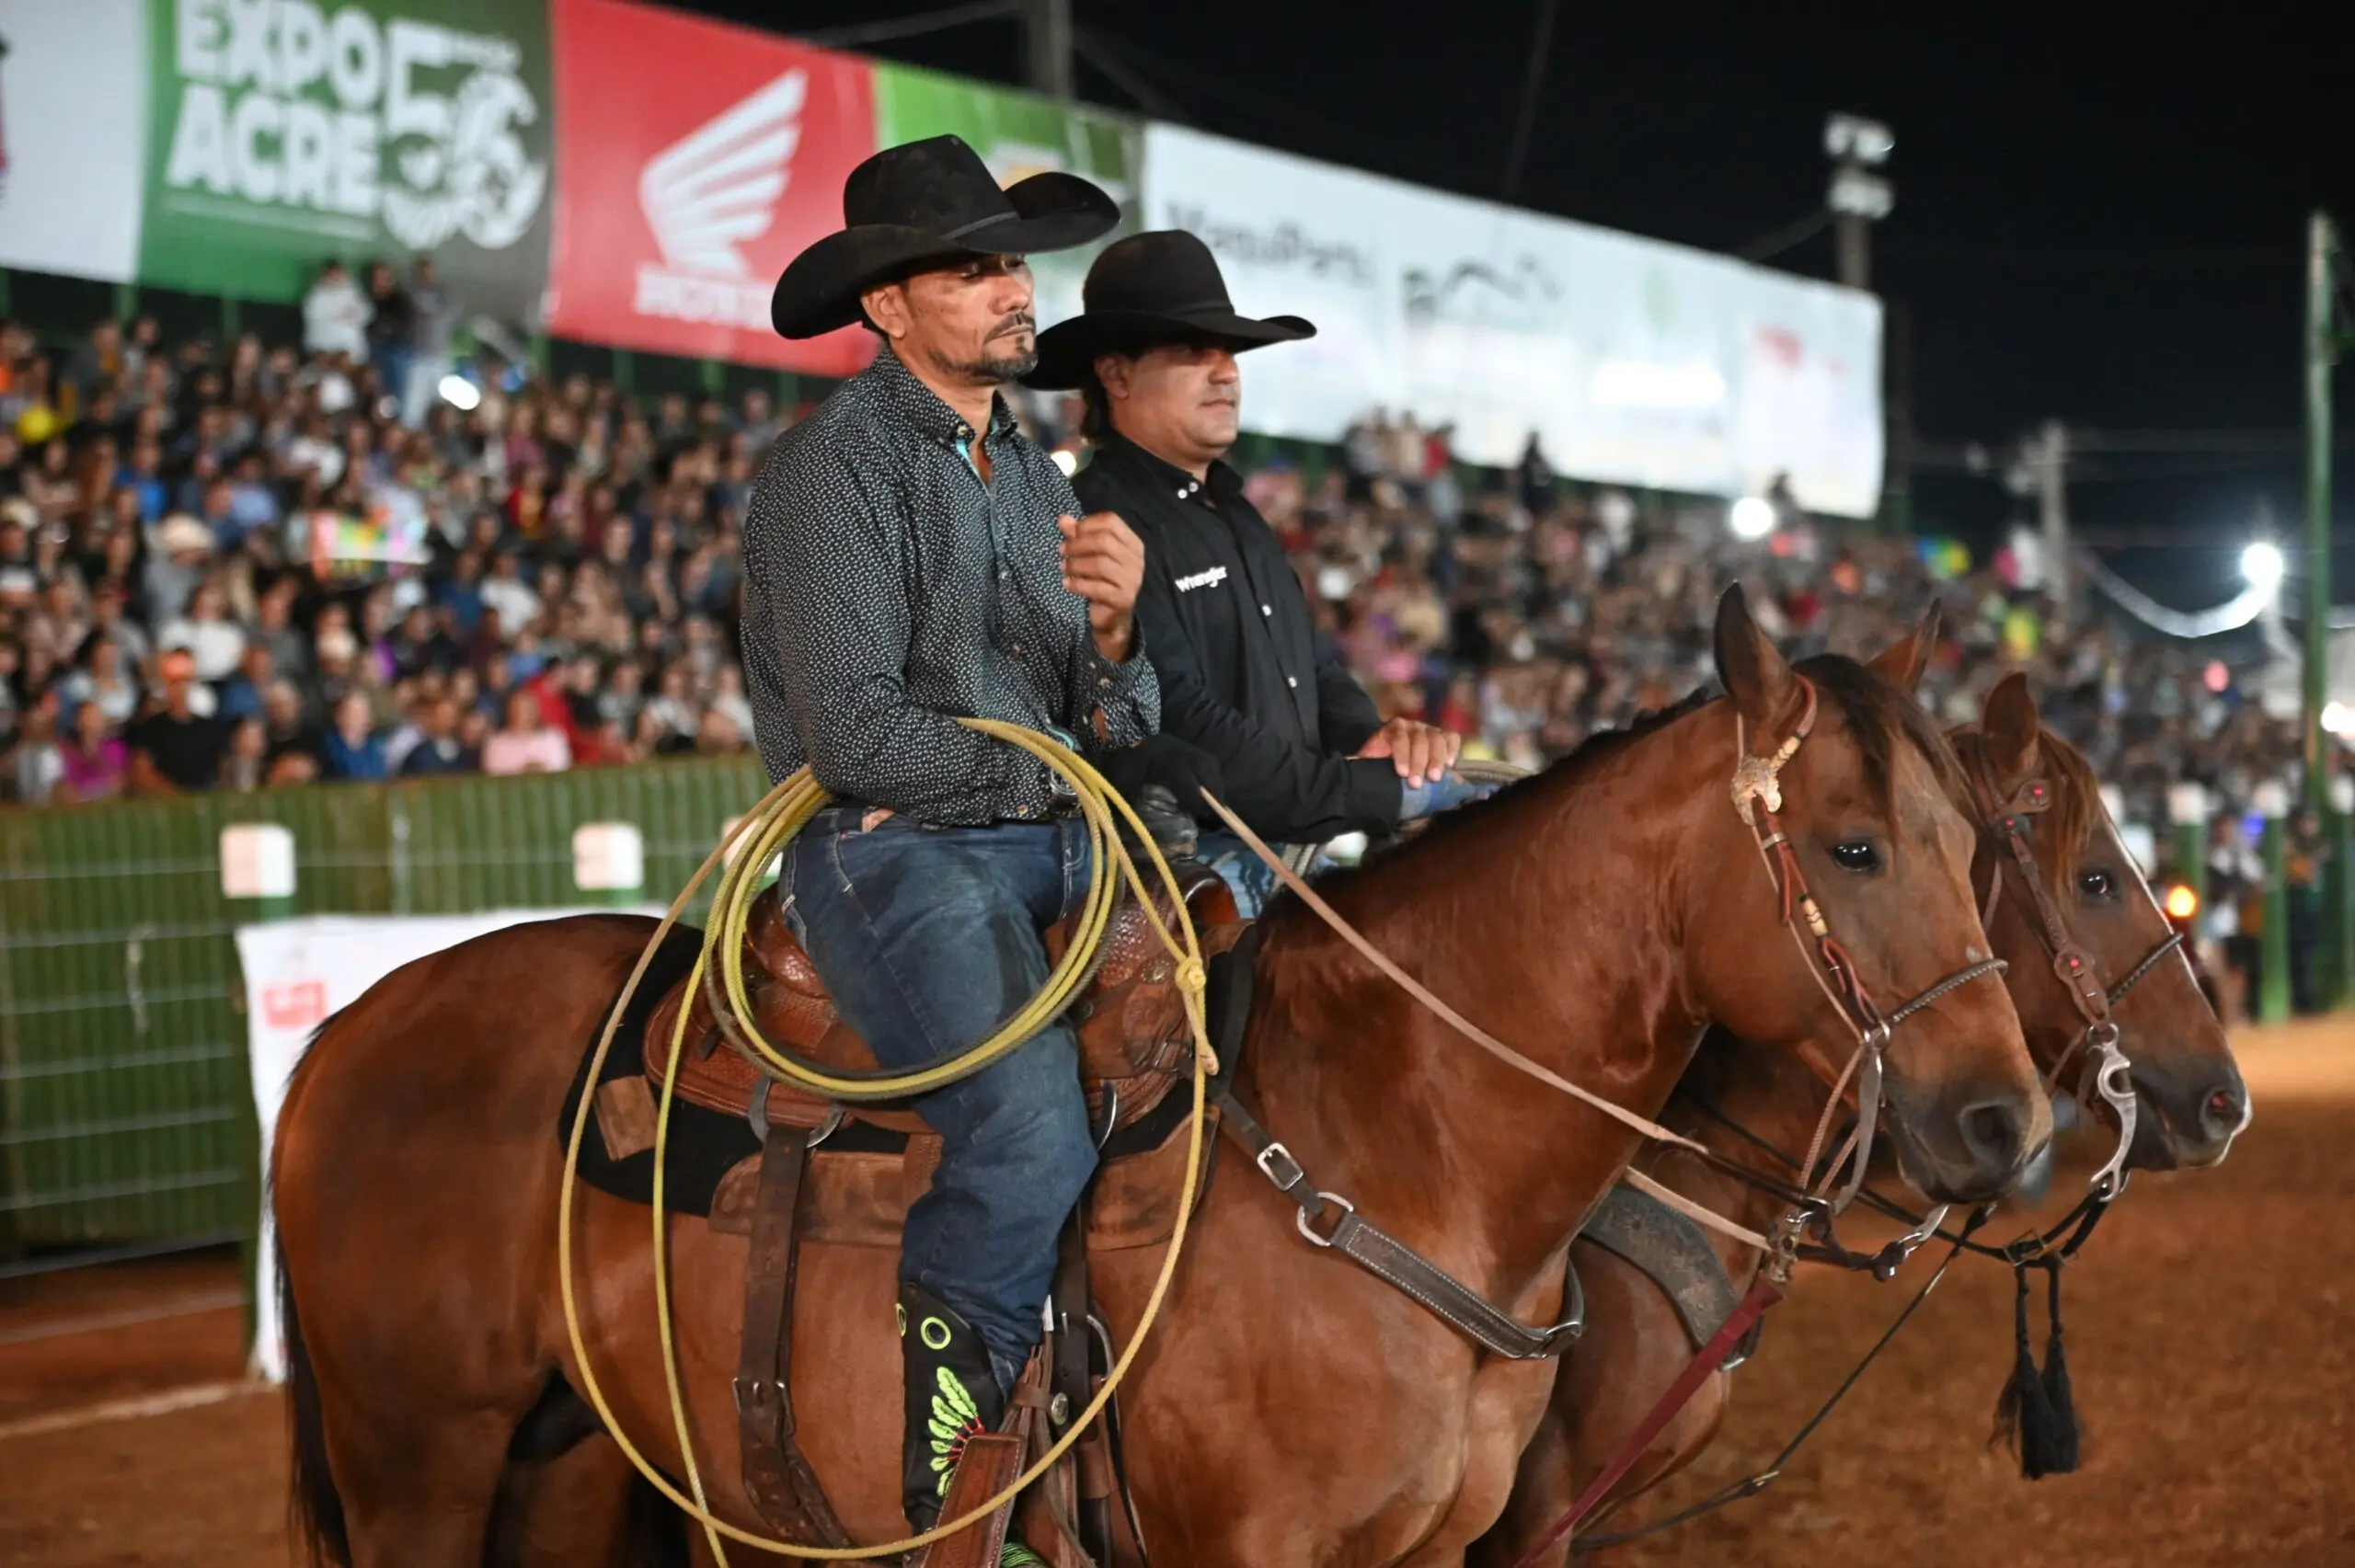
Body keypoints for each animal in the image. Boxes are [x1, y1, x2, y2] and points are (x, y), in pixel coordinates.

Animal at [271, 590, 2050, 1568]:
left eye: (1983, 844)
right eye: (1854, 844)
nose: (2008, 1120)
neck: (1399, 1152)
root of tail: (343, 1035)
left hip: (574, 1469)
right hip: (418, 1469)